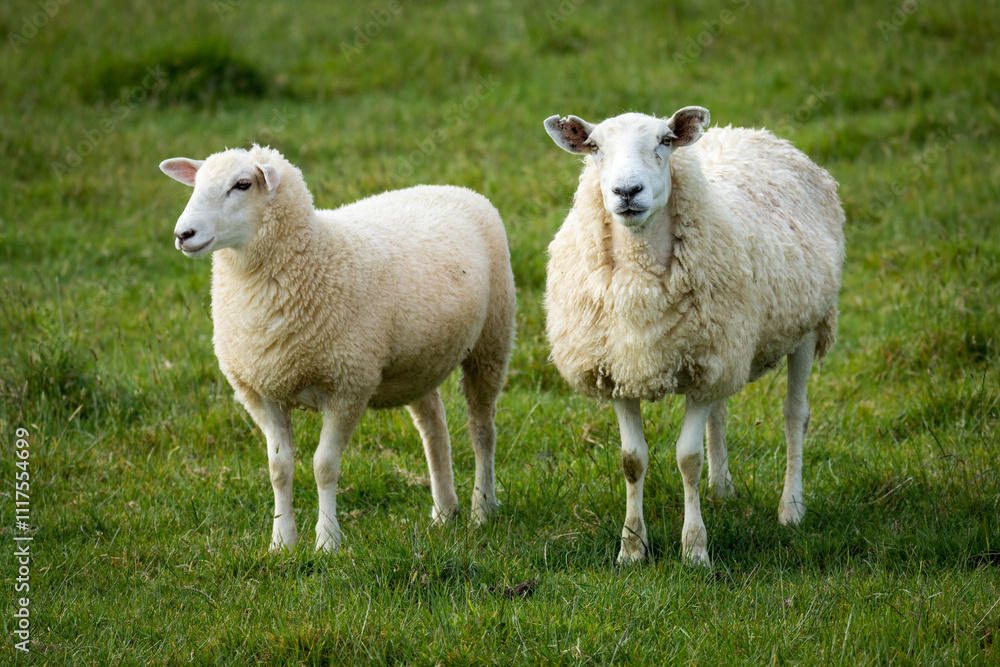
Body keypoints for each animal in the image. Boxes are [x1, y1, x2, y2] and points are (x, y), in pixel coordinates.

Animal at [159, 145, 516, 552]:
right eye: (197, 183)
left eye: (242, 184)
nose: (183, 234)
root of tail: (452, 187)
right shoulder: (261, 391)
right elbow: (279, 469)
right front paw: (281, 542)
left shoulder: (348, 384)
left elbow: (324, 466)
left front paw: (327, 541)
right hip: (418, 362)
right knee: (434, 426)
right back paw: (444, 511)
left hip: (492, 340)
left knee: (482, 429)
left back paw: (482, 508)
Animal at [542, 107, 845, 566]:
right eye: (594, 147)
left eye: (664, 141)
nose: (627, 191)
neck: (639, 276)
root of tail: (750, 132)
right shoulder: (620, 369)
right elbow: (632, 460)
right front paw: (632, 547)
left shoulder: (701, 365)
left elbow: (687, 460)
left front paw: (695, 548)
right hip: (721, 346)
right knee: (719, 411)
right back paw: (722, 490)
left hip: (806, 325)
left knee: (795, 417)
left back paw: (791, 508)